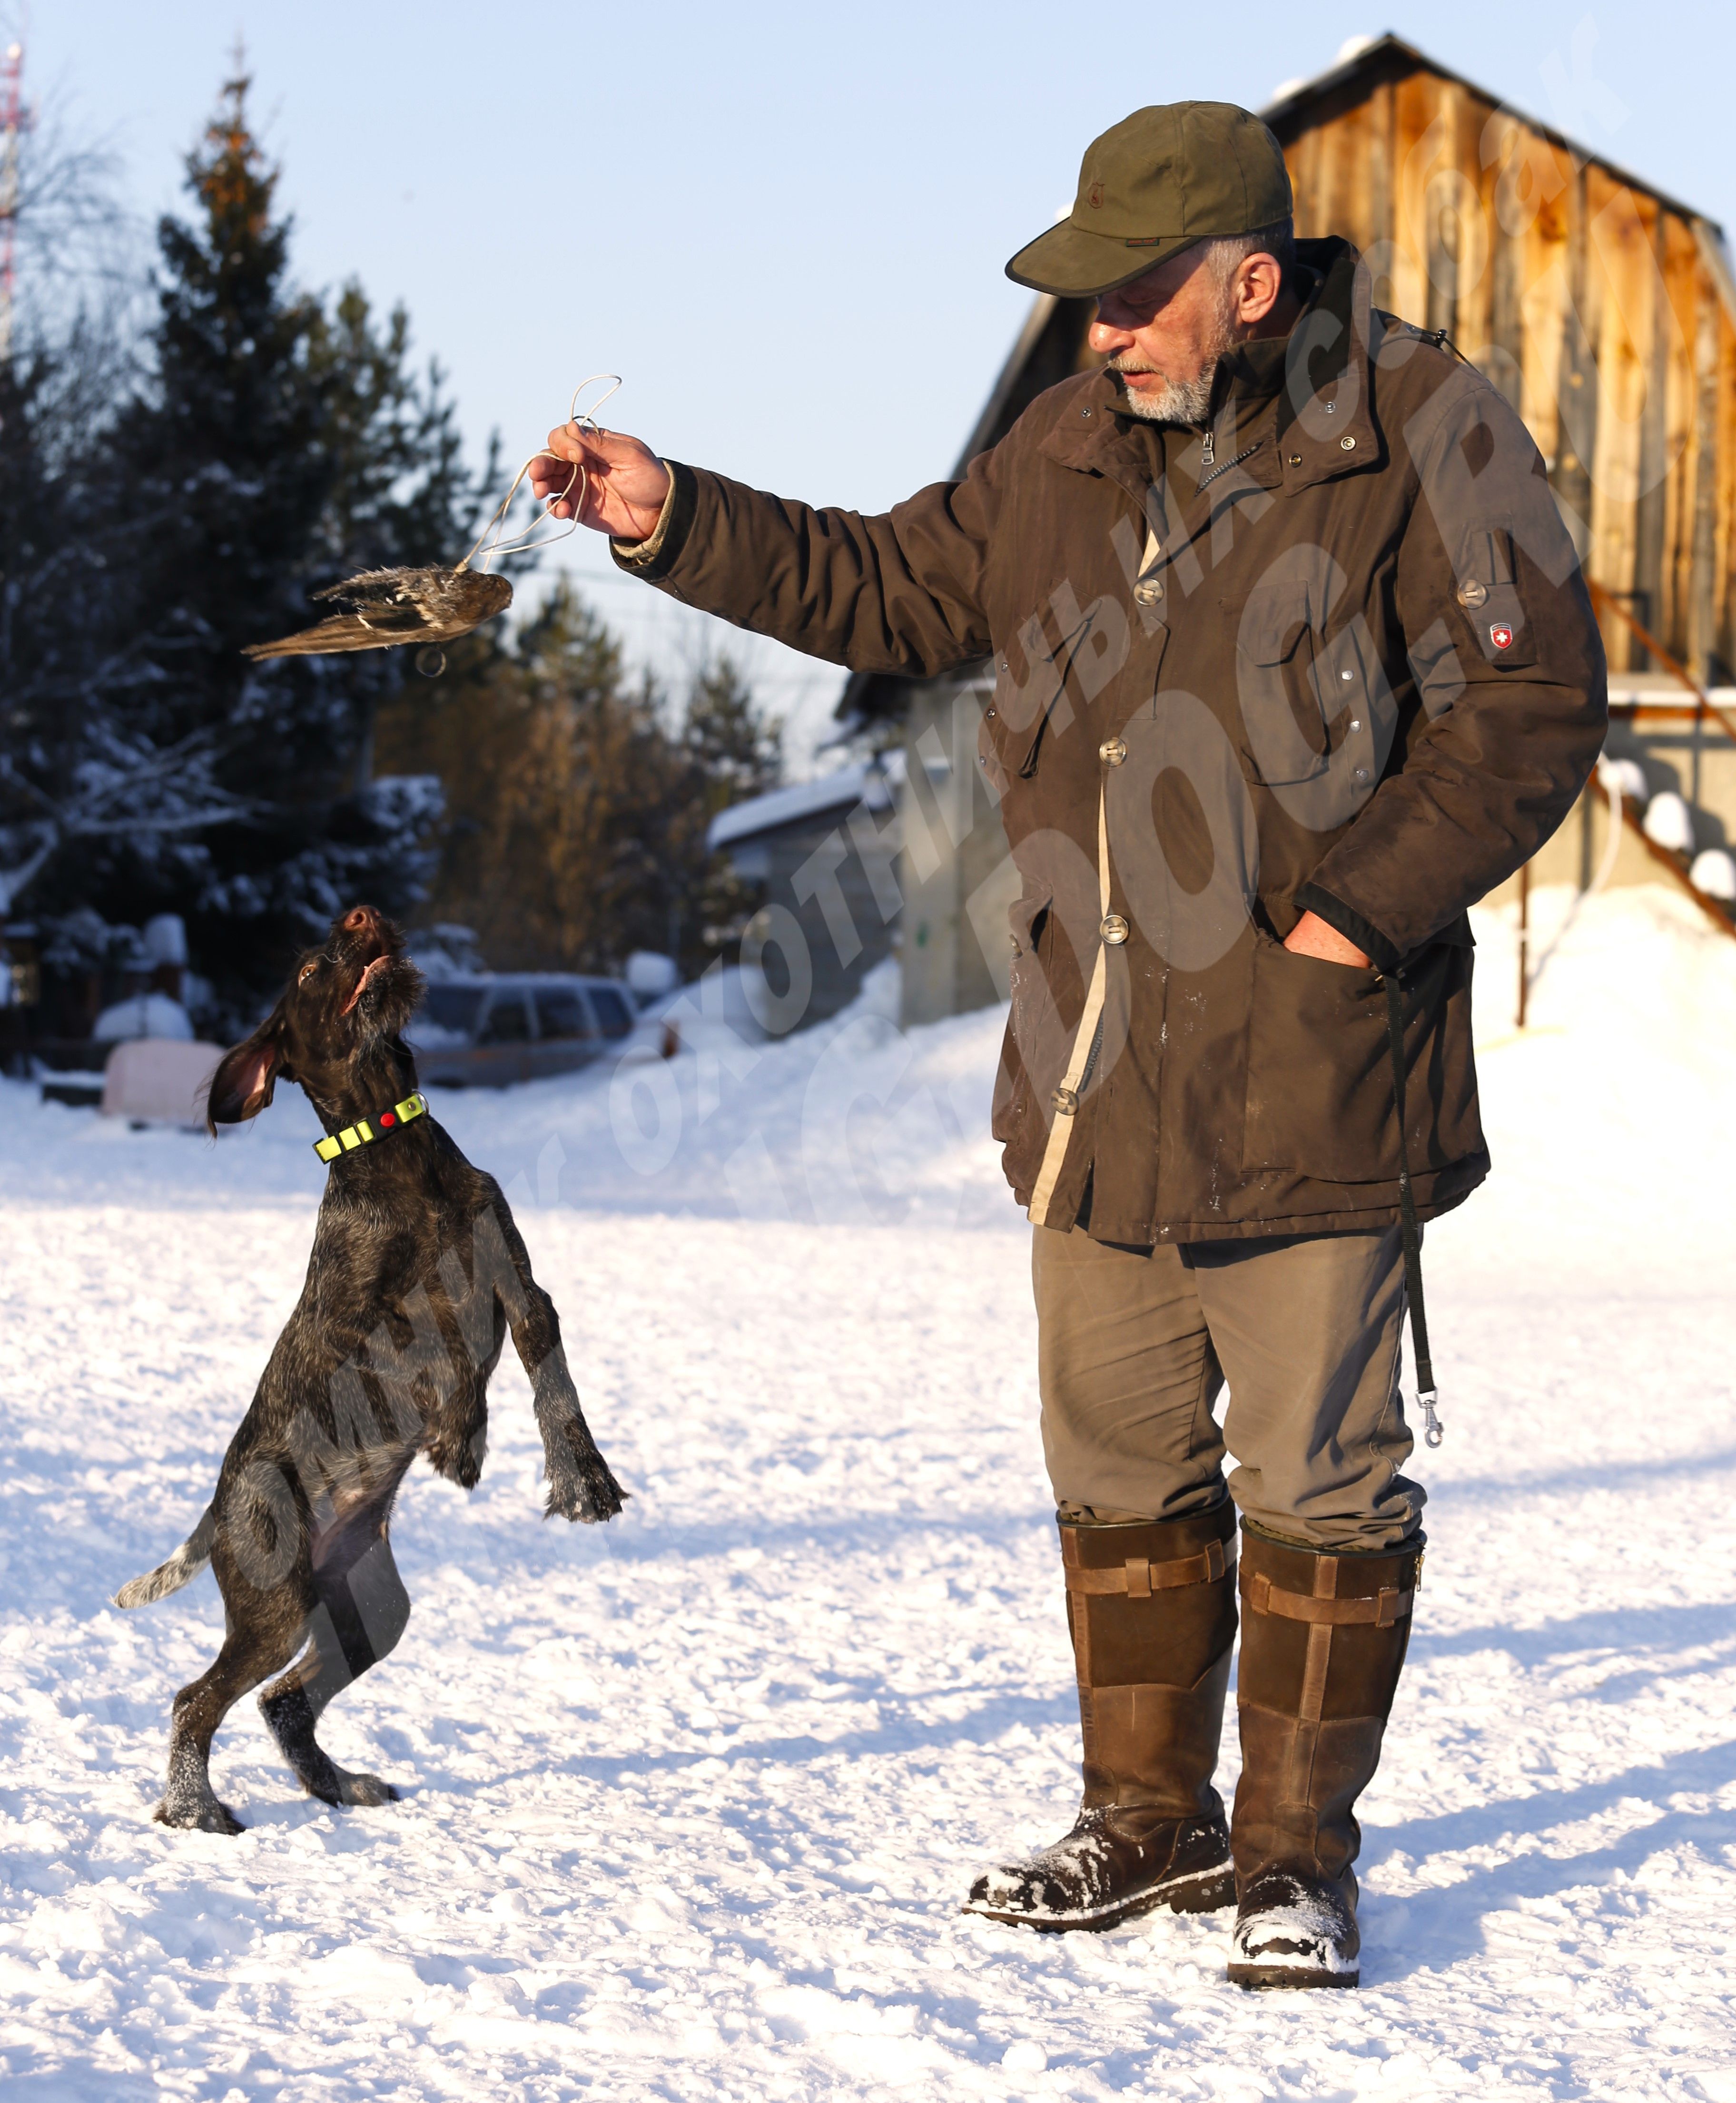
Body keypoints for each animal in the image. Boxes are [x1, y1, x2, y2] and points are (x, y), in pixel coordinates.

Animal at [115, 903, 625, 1833]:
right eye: (310, 971)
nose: (360, 914)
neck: (396, 1146)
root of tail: (215, 1514)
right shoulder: (379, 1327)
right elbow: (443, 1366)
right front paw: (470, 1439)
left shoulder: (521, 1288)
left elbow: (554, 1387)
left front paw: (577, 1476)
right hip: (276, 1609)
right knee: (195, 1700)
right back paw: (196, 1810)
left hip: (371, 1610)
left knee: (281, 1701)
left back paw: (337, 1784)